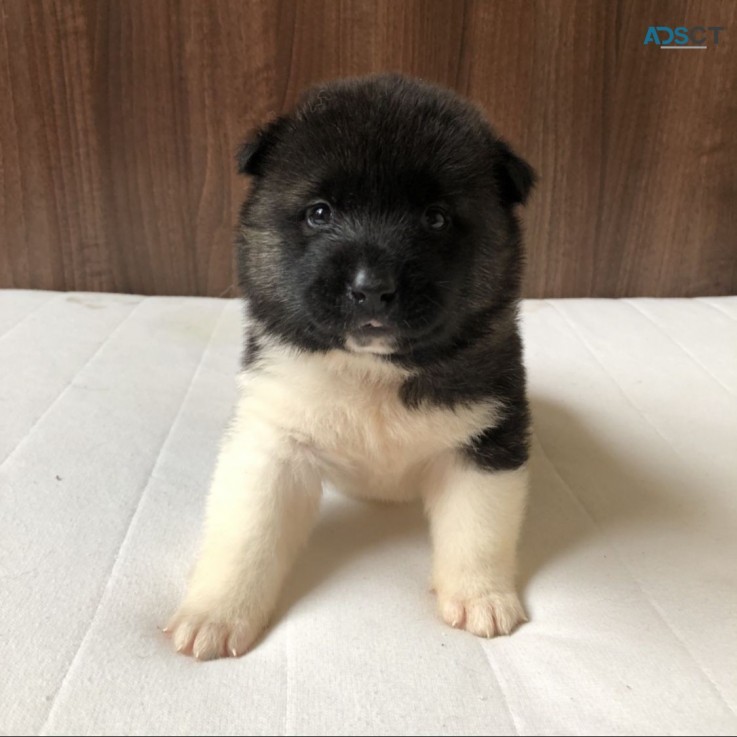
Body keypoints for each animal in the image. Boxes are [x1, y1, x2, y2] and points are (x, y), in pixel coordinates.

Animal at [165, 76, 536, 660]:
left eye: (435, 217)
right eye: (320, 213)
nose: (371, 287)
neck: (373, 373)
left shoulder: (487, 441)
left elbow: (479, 529)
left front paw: (483, 596)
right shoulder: (272, 443)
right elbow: (247, 535)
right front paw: (216, 613)